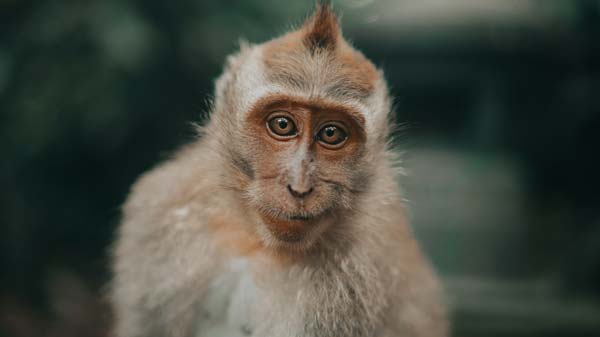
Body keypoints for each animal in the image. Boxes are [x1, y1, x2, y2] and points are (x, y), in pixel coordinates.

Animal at [109, 3, 446, 336]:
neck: (257, 244)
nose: (299, 186)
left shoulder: (359, 278)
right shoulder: (160, 214)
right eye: (282, 125)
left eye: (331, 133)